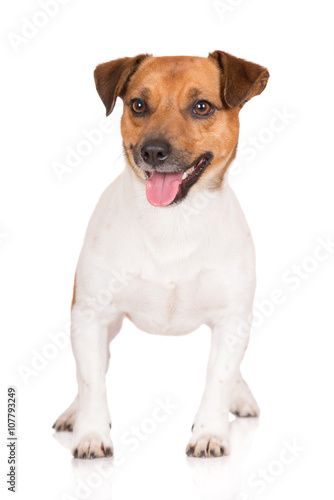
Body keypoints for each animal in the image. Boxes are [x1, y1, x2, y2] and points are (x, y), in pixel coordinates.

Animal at [53, 49, 270, 458]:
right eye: (138, 104)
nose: (153, 151)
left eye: (202, 107)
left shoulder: (232, 320)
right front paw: (91, 434)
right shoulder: (89, 315)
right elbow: (91, 381)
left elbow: (219, 377)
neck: (173, 223)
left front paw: (210, 433)